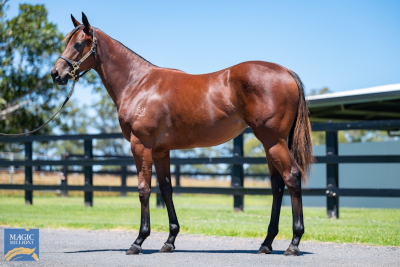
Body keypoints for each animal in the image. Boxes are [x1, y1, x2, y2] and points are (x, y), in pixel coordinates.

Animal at [50, 13, 312, 256]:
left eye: (78, 44)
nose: (55, 73)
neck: (138, 84)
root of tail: (286, 72)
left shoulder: (141, 145)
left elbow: (144, 189)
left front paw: (138, 241)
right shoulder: (160, 151)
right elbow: (166, 189)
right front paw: (169, 241)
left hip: (274, 141)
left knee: (292, 177)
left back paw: (293, 244)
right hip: (270, 144)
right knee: (277, 185)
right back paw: (267, 243)